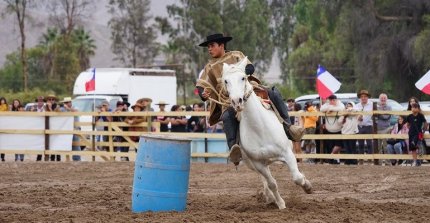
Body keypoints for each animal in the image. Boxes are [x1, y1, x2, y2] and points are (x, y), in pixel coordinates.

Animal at [222, 57, 312, 209]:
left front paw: (307, 186)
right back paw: (269, 197)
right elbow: (271, 183)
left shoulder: (288, 154)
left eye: (243, 78)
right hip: (252, 163)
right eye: (225, 81)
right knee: (265, 179)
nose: (236, 101)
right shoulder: (258, 163)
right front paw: (280, 204)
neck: (259, 128)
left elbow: (297, 177)